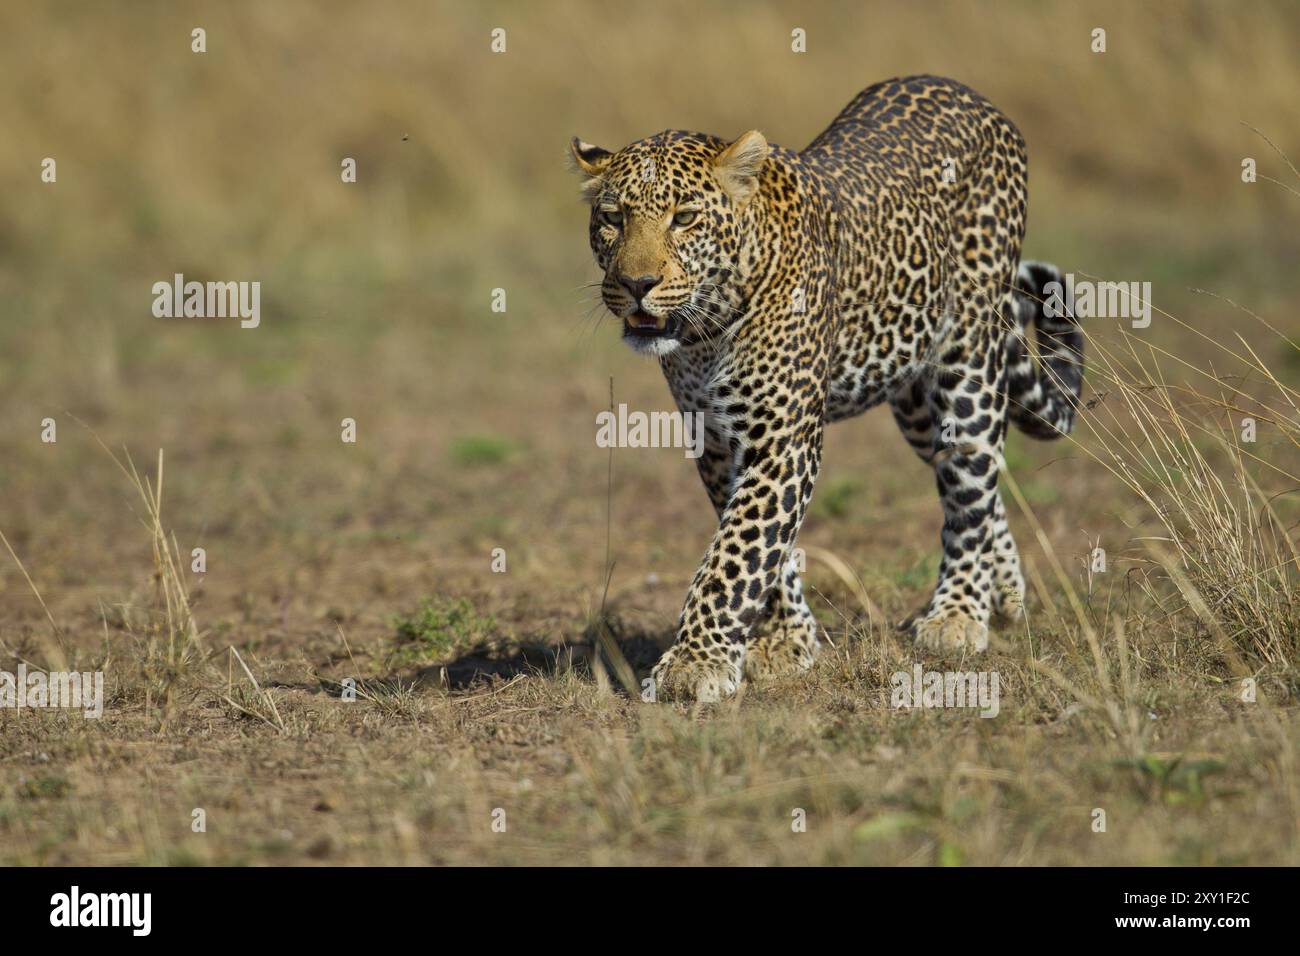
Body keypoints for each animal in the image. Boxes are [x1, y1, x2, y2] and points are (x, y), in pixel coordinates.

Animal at [570, 75, 1084, 702]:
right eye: (612, 218)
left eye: (685, 217)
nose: (636, 284)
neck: (705, 331)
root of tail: (961, 89)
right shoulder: (715, 440)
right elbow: (767, 548)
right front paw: (787, 641)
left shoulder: (781, 438)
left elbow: (735, 553)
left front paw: (694, 663)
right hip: (914, 403)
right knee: (980, 475)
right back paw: (1004, 596)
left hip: (966, 362)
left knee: (970, 483)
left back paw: (959, 614)